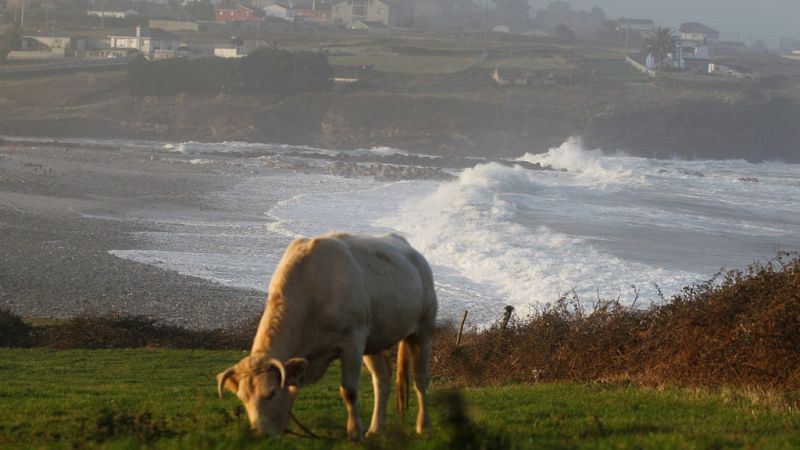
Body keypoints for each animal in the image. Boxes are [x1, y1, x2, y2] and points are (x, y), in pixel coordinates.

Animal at [216, 232, 438, 440]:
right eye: (243, 398)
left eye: (271, 393)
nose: (259, 434)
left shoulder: (353, 342)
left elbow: (349, 390)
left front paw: (354, 433)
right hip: (374, 339)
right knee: (381, 378)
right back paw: (376, 428)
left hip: (423, 330)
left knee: (420, 380)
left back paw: (424, 426)